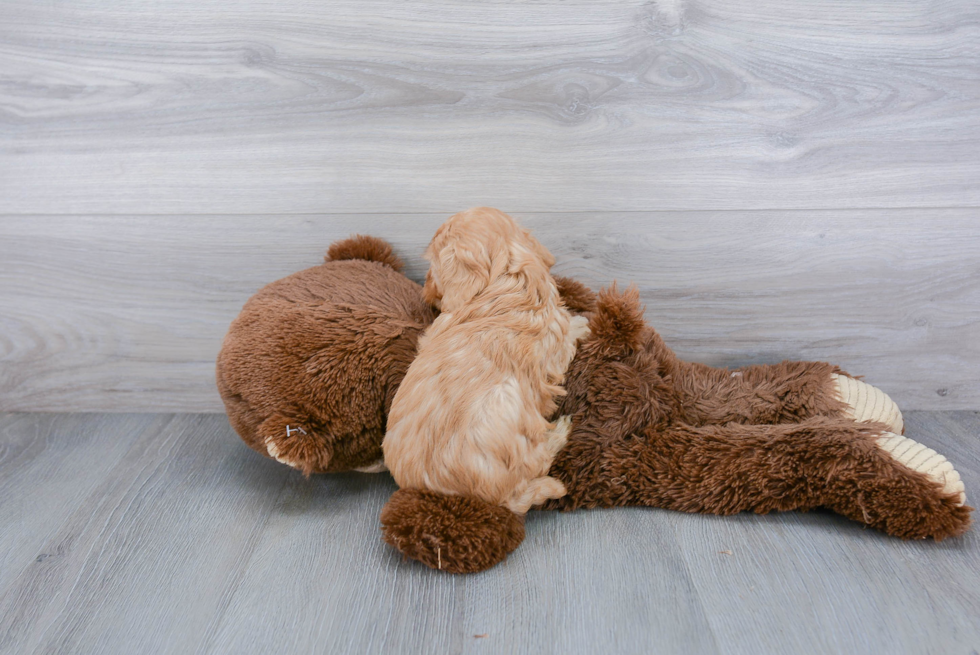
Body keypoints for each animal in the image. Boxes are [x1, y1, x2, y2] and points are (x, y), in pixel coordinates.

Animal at [382, 208, 588, 516]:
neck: (509, 276)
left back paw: (560, 431)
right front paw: (584, 323)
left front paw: (583, 323)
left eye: (434, 268)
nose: (425, 291)